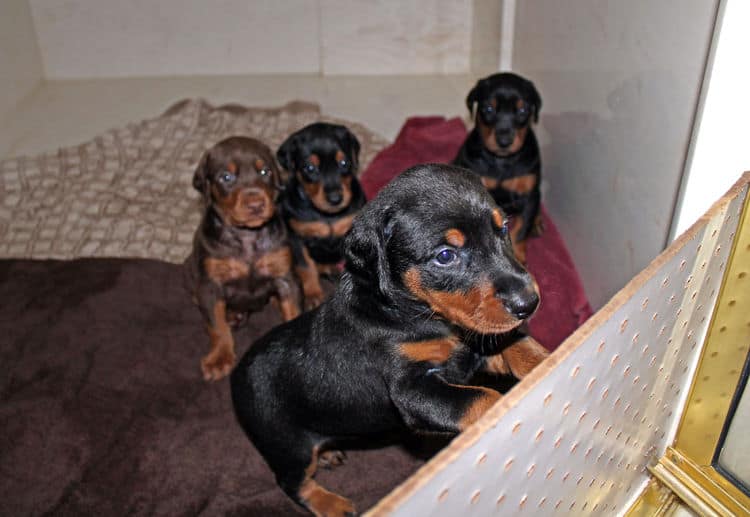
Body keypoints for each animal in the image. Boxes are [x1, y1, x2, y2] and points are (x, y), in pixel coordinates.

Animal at [186, 136, 302, 378]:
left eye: (265, 171)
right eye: (226, 177)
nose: (256, 205)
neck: (247, 236)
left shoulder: (286, 277)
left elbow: (294, 309)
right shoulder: (210, 286)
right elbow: (216, 325)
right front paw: (219, 358)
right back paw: (232, 315)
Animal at [234, 163, 552, 512]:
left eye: (504, 227)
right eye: (445, 256)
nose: (529, 302)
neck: (415, 315)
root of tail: (237, 374)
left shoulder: (470, 346)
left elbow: (514, 343)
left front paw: (547, 361)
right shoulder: (411, 389)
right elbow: (483, 397)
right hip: (287, 444)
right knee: (292, 482)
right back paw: (331, 505)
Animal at [278, 122, 368, 306]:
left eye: (344, 163)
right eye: (310, 168)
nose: (335, 199)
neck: (326, 216)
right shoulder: (296, 238)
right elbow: (306, 266)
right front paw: (313, 294)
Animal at [456, 71, 544, 262]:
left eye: (522, 110)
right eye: (489, 109)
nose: (504, 141)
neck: (502, 161)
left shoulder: (529, 194)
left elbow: (521, 229)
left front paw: (518, 258)